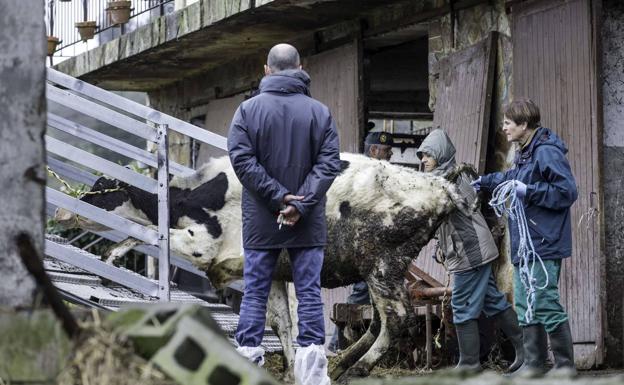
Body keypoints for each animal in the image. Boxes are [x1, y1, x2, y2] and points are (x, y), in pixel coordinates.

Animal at [54, 154, 464, 380]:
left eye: (101, 188)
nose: (62, 211)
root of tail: (440, 186)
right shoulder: (275, 273)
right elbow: (282, 322)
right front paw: (293, 369)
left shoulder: (204, 244)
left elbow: (156, 233)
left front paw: (114, 253)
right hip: (378, 270)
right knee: (378, 320)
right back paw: (340, 364)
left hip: (382, 263)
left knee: (398, 319)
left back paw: (356, 368)